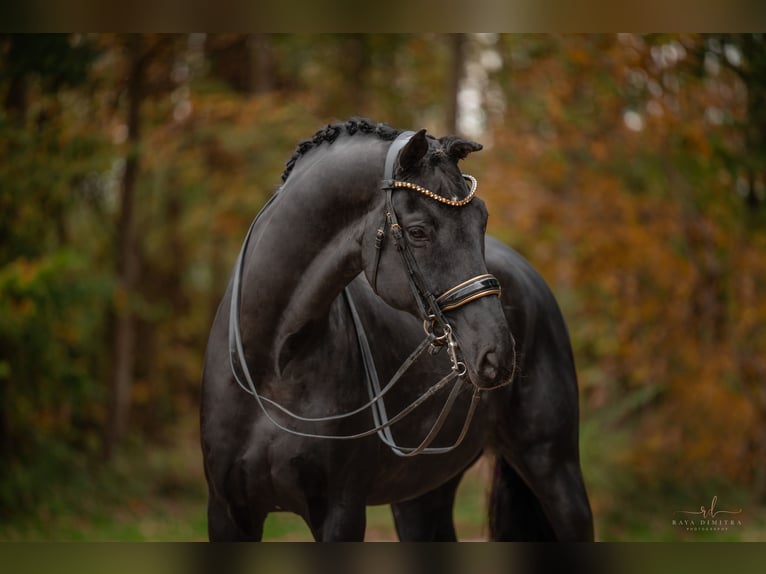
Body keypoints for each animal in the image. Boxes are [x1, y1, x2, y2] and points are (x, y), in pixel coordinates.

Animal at [201, 119, 596, 544]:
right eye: (418, 232)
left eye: (482, 220)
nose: (499, 354)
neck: (273, 367)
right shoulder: (227, 513)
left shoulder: (339, 513)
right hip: (423, 492)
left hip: (552, 466)